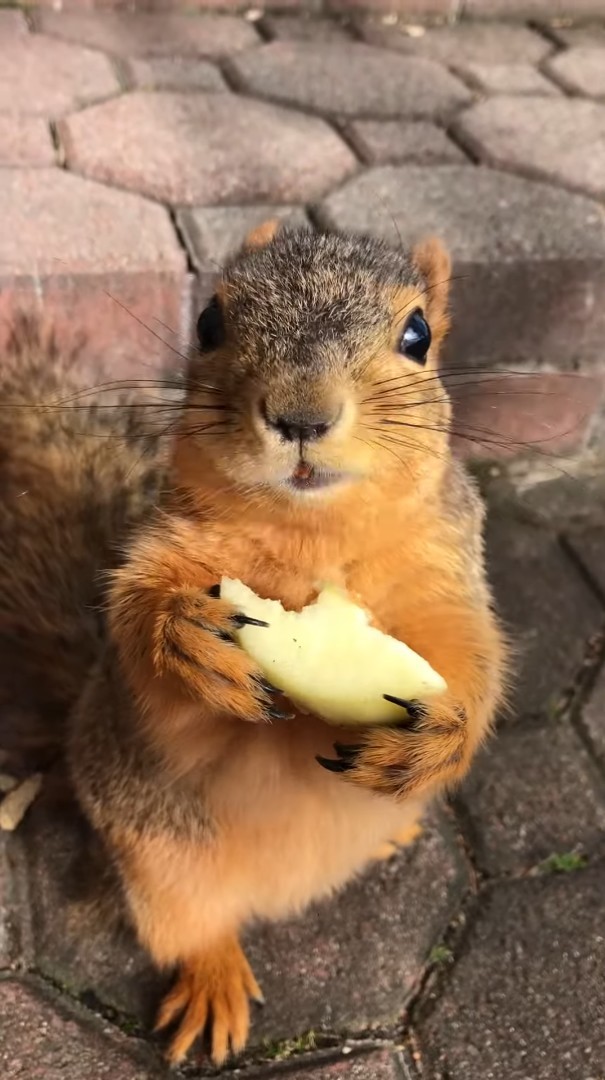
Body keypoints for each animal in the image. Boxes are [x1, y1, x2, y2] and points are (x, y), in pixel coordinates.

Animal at [0, 223, 505, 1067]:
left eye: (417, 336)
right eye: (209, 322)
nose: (300, 416)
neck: (312, 537)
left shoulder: (447, 572)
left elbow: (471, 648)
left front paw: (445, 731)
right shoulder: (161, 553)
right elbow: (141, 634)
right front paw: (182, 636)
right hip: (161, 864)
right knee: (194, 930)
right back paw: (213, 984)